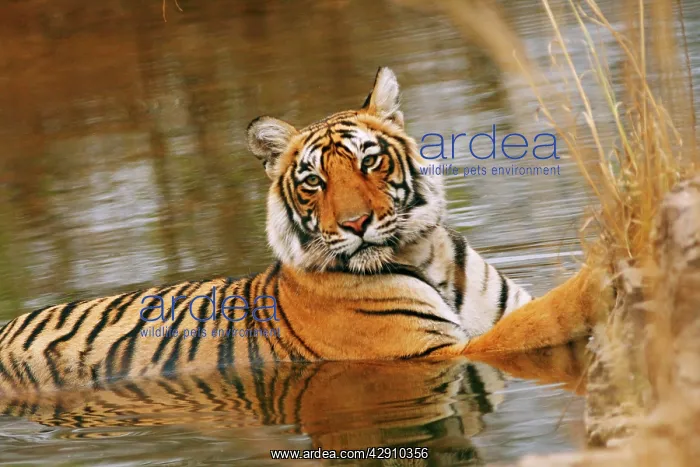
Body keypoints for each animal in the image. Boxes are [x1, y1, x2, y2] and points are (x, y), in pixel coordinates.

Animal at [0, 66, 603, 395]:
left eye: (369, 161)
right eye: (313, 180)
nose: (356, 224)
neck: (422, 252)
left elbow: (528, 318)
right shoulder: (432, 354)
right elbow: (535, 323)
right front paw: (599, 273)